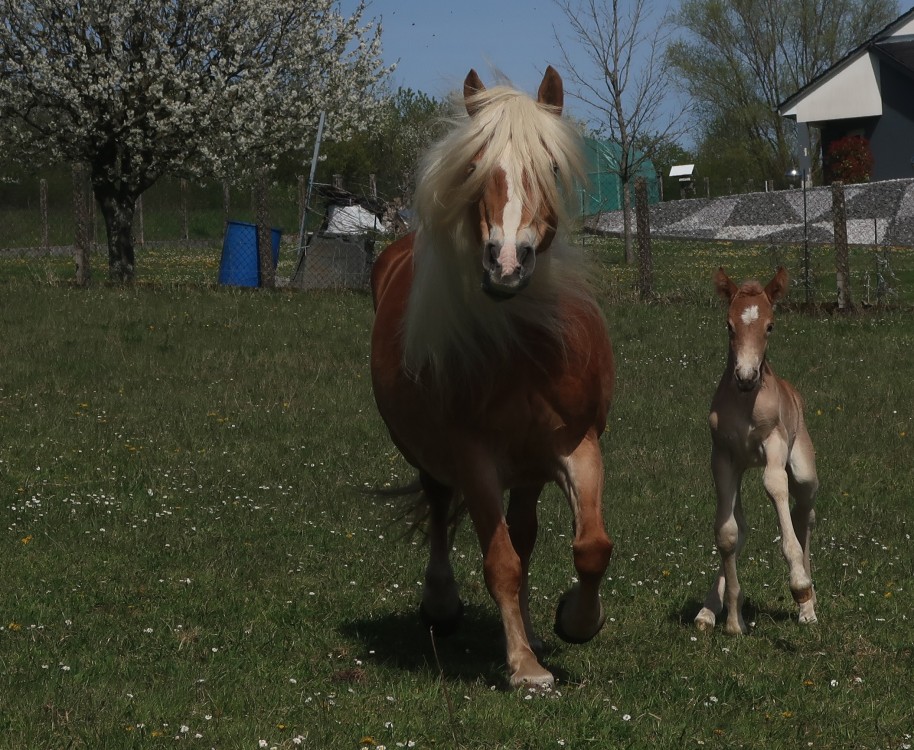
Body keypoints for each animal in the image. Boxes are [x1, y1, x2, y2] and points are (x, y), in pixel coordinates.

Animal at [369, 67, 615, 688]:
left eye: (552, 166)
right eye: (475, 166)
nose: (506, 264)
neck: (524, 351)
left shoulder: (578, 444)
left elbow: (591, 547)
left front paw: (576, 622)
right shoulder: (473, 455)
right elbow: (500, 561)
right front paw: (525, 666)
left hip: (528, 467)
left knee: (524, 533)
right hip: (430, 452)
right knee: (441, 508)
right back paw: (441, 605)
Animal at [695, 267, 819, 635]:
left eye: (770, 326)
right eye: (729, 325)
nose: (747, 377)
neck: (745, 402)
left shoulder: (773, 444)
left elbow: (775, 487)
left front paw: (800, 587)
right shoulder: (722, 457)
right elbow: (728, 533)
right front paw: (733, 621)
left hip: (804, 469)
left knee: (804, 512)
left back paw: (809, 605)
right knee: (744, 526)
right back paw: (708, 610)